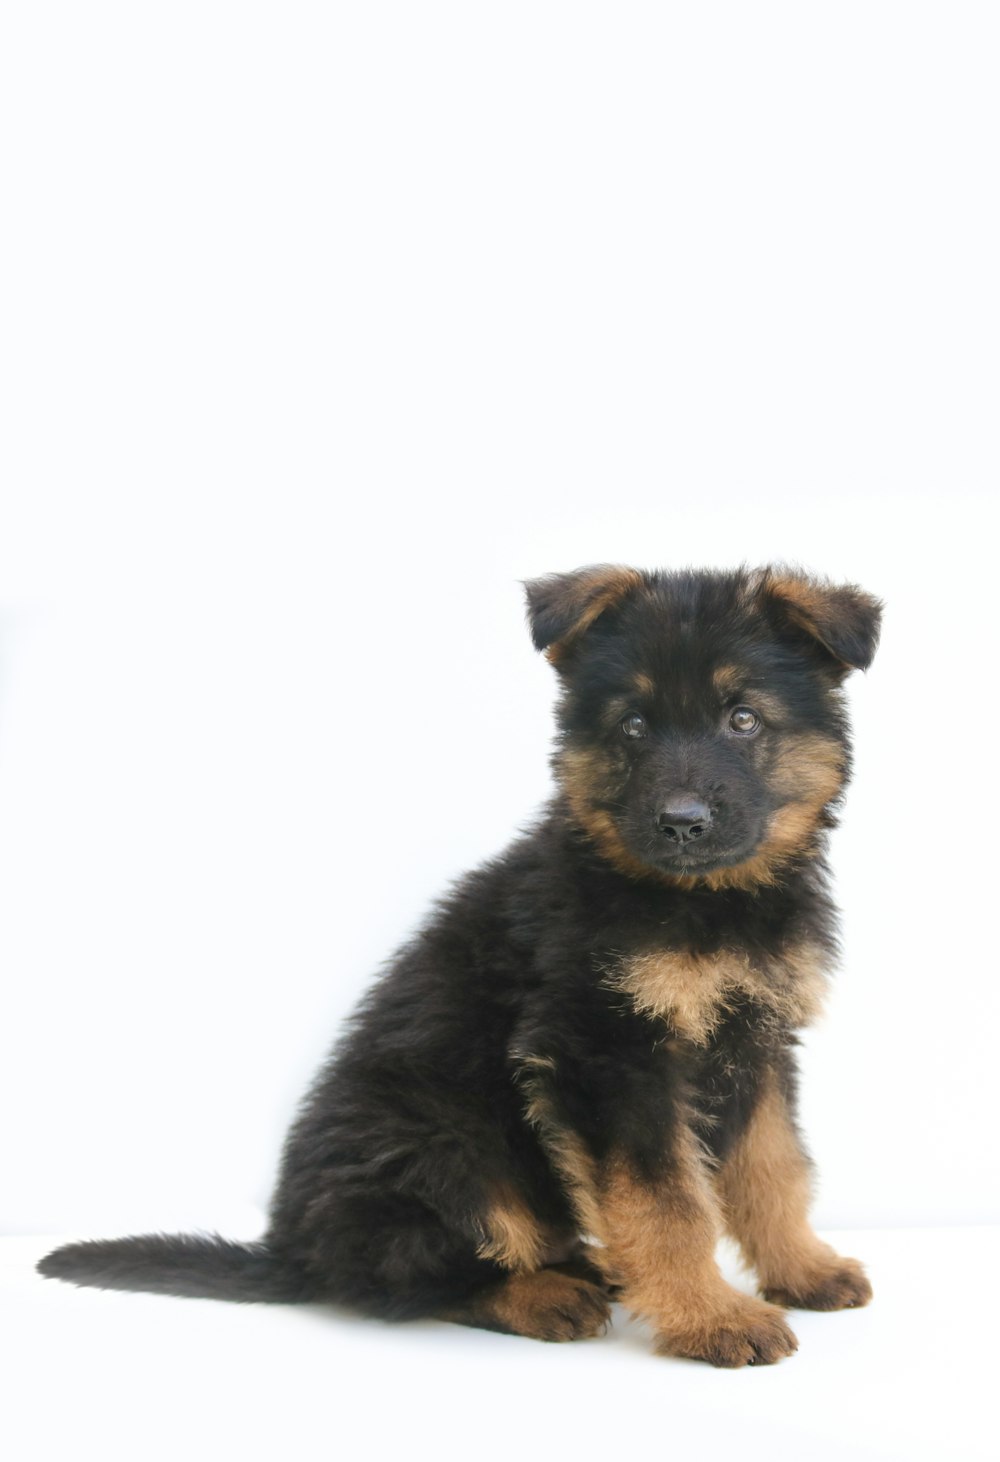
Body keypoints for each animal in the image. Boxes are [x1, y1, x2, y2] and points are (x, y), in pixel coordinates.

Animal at [39, 564, 883, 1362]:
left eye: (743, 720)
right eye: (635, 726)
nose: (681, 823)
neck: (703, 900)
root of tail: (293, 1252)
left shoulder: (756, 1039)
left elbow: (773, 1167)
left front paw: (801, 1269)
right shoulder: (605, 1054)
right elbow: (666, 1201)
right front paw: (710, 1317)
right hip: (448, 1145)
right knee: (403, 1279)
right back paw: (547, 1293)